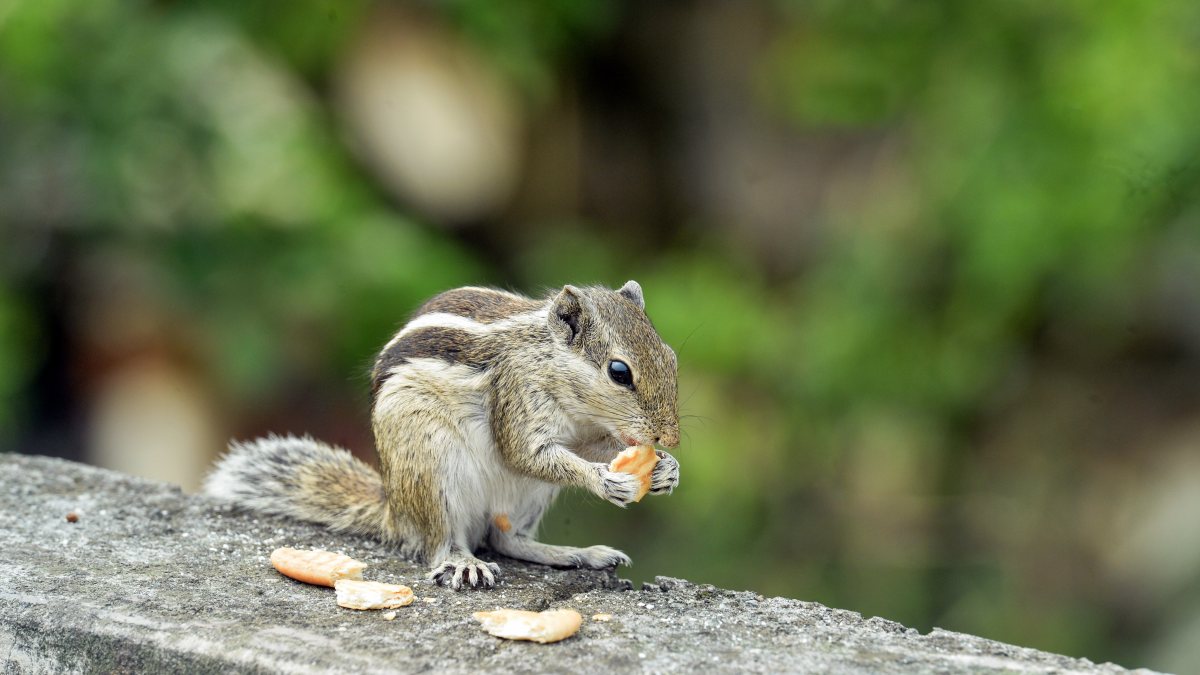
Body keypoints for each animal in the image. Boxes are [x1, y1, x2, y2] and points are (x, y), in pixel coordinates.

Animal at [203, 281, 680, 589]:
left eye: (670, 356)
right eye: (619, 372)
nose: (670, 438)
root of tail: (395, 512)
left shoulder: (584, 434)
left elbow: (588, 448)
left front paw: (665, 471)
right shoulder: (516, 397)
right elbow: (526, 453)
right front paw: (606, 479)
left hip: (527, 497)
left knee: (506, 539)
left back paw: (576, 554)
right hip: (431, 467)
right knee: (440, 542)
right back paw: (462, 562)